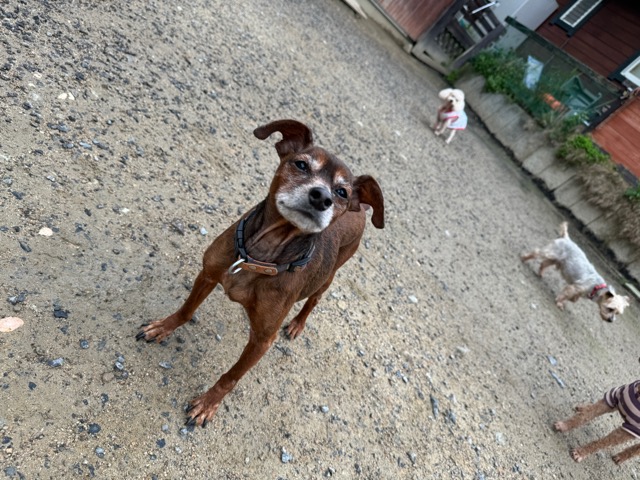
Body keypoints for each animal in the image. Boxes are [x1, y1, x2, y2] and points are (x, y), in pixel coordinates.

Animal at [137, 119, 385, 427]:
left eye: (342, 192)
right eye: (301, 164)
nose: (322, 197)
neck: (262, 255)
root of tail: (360, 209)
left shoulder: (263, 339)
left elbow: (232, 376)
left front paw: (208, 403)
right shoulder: (207, 275)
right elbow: (185, 311)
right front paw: (162, 327)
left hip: (327, 277)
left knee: (313, 300)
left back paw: (297, 324)